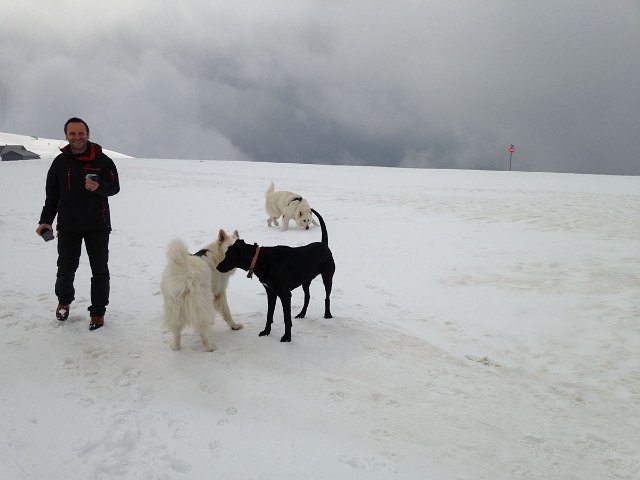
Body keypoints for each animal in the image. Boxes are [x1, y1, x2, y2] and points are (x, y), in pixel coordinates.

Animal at [218, 209, 336, 342]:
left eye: (228, 255)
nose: (217, 267)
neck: (261, 259)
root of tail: (324, 245)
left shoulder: (285, 295)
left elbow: (286, 318)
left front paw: (287, 337)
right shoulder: (271, 292)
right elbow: (269, 315)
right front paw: (266, 331)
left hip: (327, 277)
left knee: (327, 297)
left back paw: (327, 314)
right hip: (306, 281)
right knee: (307, 296)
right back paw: (302, 314)